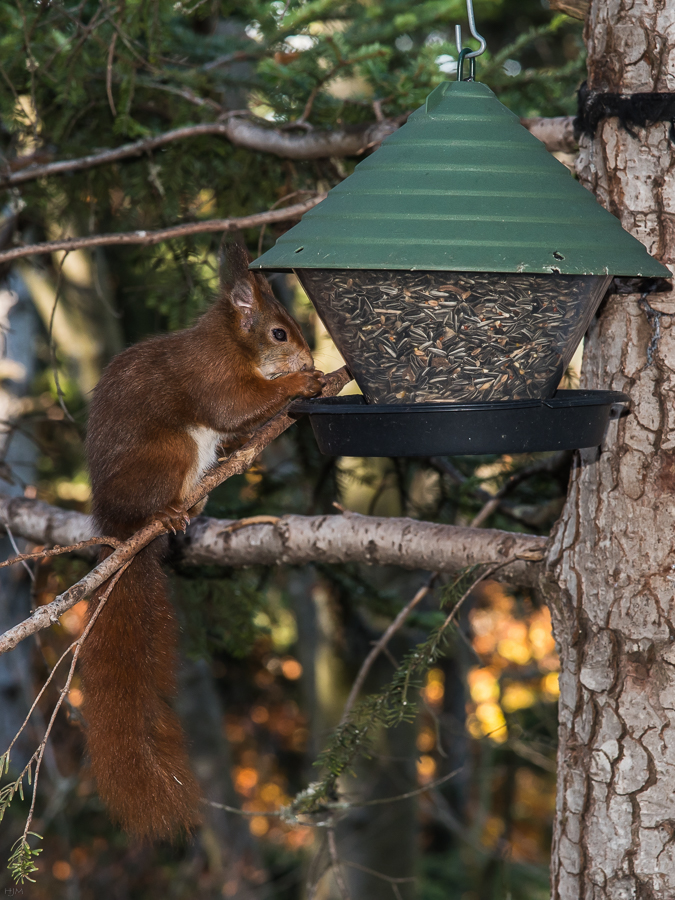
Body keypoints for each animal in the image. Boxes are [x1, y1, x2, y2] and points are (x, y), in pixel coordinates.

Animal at [80, 239, 324, 836]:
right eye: (279, 334)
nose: (309, 359)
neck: (233, 343)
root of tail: (117, 530)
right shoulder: (210, 375)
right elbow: (231, 405)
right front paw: (299, 385)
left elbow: (239, 421)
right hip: (170, 453)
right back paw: (168, 513)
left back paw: (201, 497)